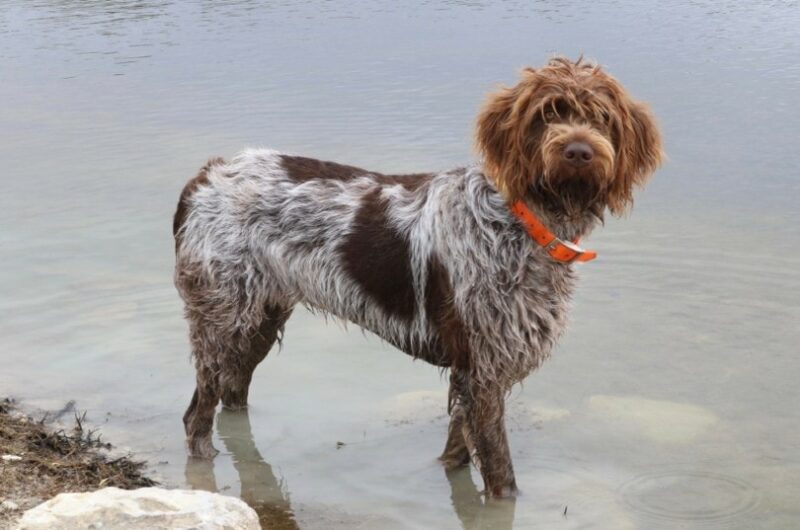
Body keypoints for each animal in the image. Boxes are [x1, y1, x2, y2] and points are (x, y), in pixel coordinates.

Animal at [173, 56, 664, 496]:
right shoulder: (482, 373)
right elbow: (501, 477)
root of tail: (208, 173)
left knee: (232, 399)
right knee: (197, 414)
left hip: (259, 318)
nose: (579, 152)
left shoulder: (472, 377)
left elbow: (457, 456)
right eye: (547, 114)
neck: (520, 221)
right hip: (222, 320)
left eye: (601, 118)